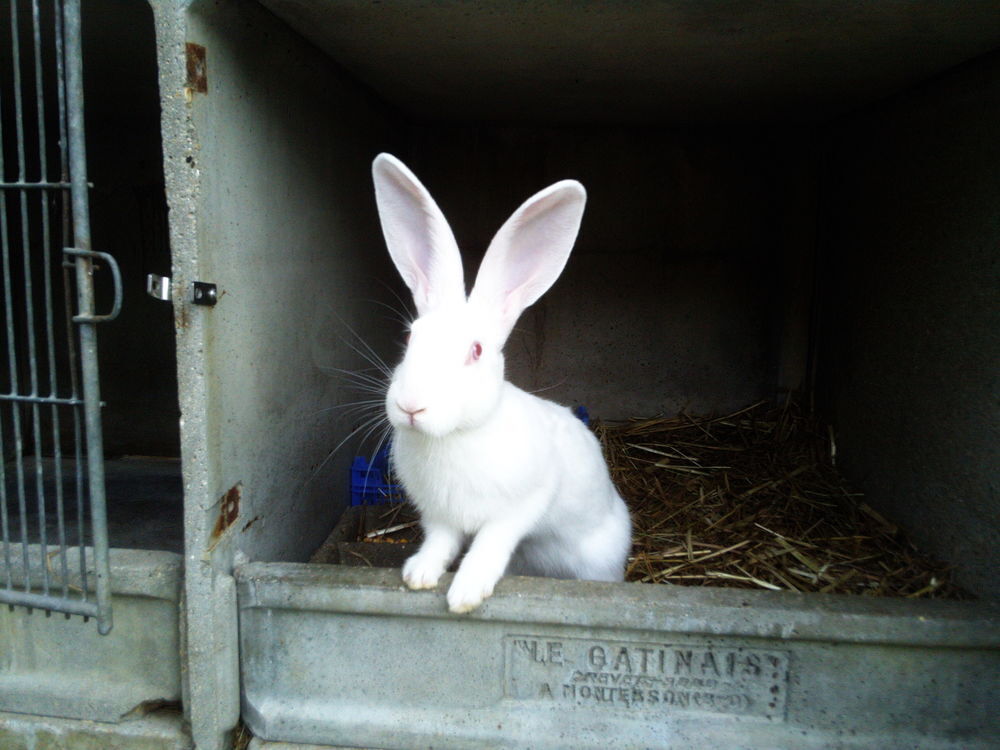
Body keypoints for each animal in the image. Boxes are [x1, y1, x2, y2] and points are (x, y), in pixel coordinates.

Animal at [371, 153, 632, 613]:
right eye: (409, 338)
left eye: (475, 351)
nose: (411, 406)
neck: (456, 436)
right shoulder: (439, 517)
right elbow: (439, 543)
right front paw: (418, 575)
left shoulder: (518, 509)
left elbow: (489, 545)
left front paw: (465, 594)